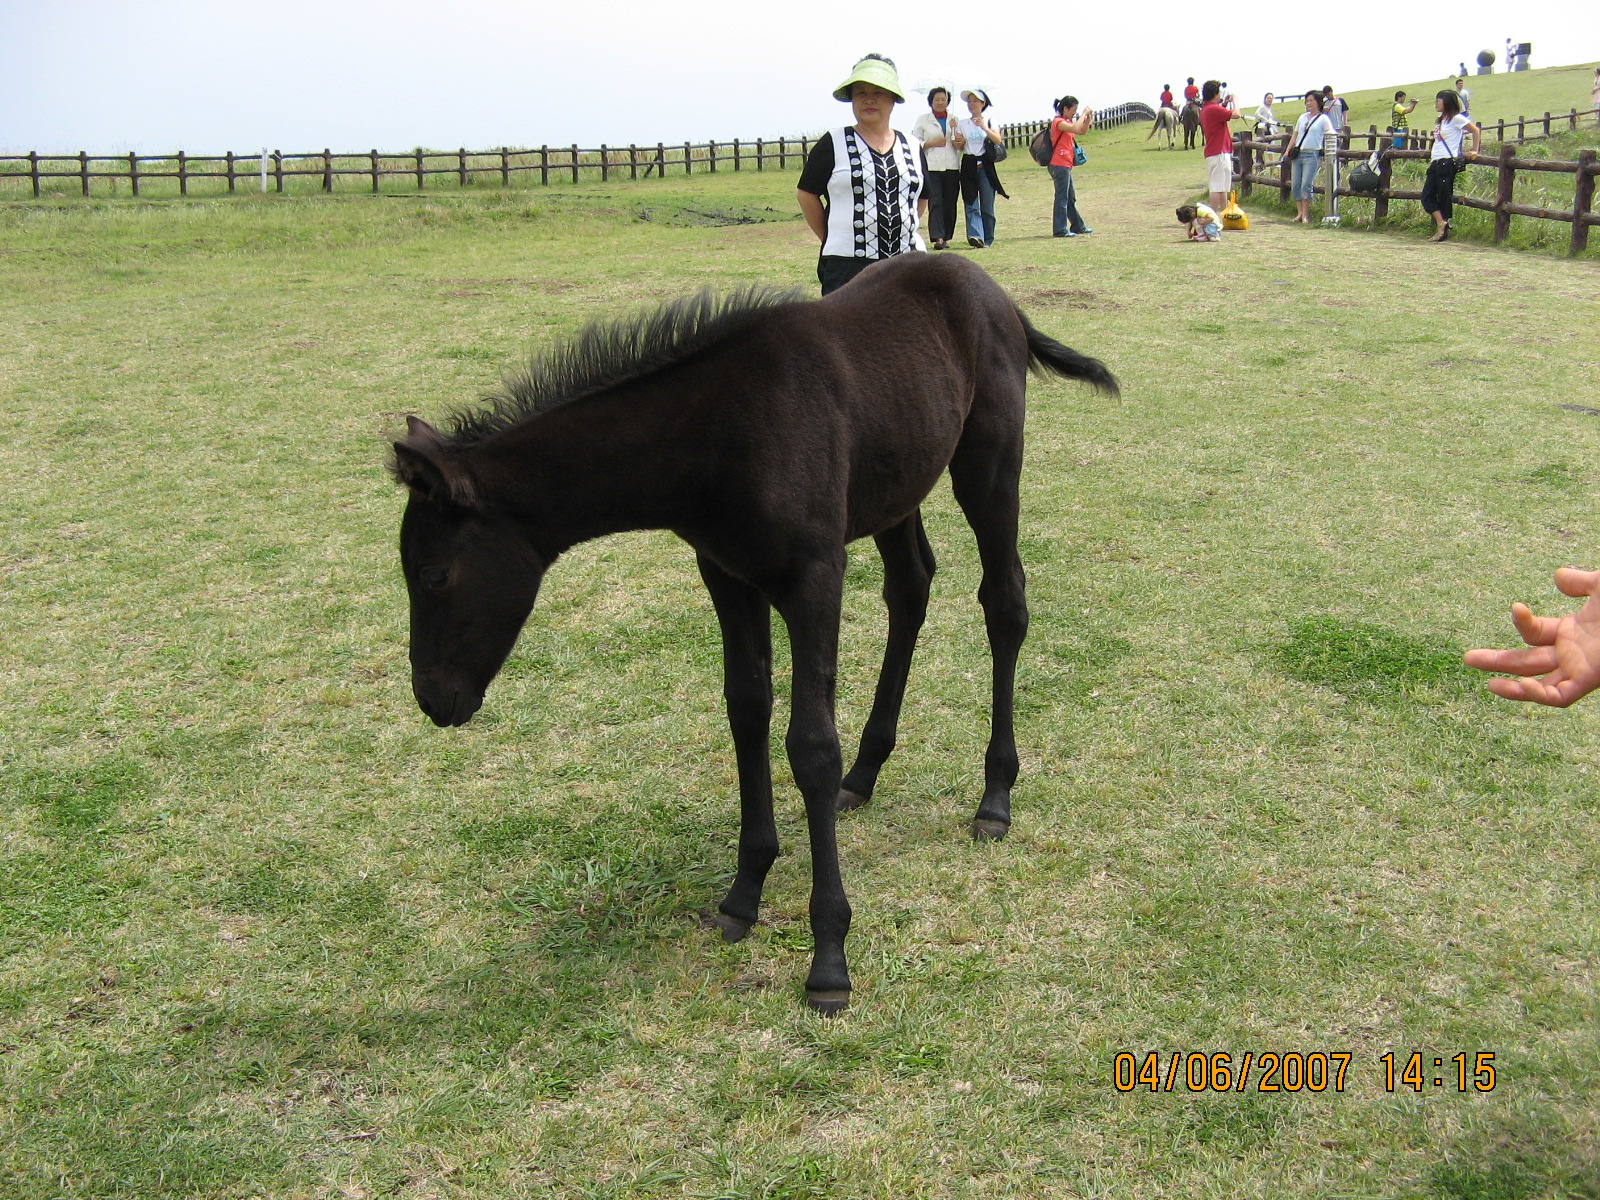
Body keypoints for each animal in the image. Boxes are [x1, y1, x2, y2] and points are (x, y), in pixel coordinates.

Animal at [390, 254, 1113, 1017]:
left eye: (434, 574)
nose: (433, 698)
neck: (717, 439)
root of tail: (992, 291)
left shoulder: (813, 577)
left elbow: (811, 746)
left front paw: (829, 957)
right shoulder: (728, 575)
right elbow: (747, 709)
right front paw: (743, 894)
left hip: (990, 460)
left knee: (1004, 602)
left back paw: (995, 796)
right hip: (896, 484)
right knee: (911, 588)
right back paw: (867, 772)